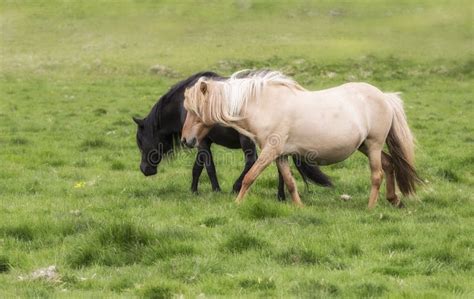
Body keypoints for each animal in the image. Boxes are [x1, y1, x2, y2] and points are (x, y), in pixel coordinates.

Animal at [133, 71, 334, 200]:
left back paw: (237, 187)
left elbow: (208, 166)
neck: (182, 108)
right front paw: (194, 190)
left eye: (141, 142)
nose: (145, 170)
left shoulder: (202, 141)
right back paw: (280, 196)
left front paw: (215, 190)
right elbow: (198, 167)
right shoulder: (202, 141)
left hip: (250, 141)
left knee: (252, 161)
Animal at [181, 71, 422, 210]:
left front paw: (237, 203)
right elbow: (290, 182)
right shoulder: (281, 155)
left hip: (373, 145)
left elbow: (249, 177)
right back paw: (393, 200)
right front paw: (300, 208)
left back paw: (371, 208)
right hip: (365, 146)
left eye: (195, 110)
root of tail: (385, 97)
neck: (264, 105)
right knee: (390, 165)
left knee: (377, 175)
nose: (186, 140)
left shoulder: (270, 151)